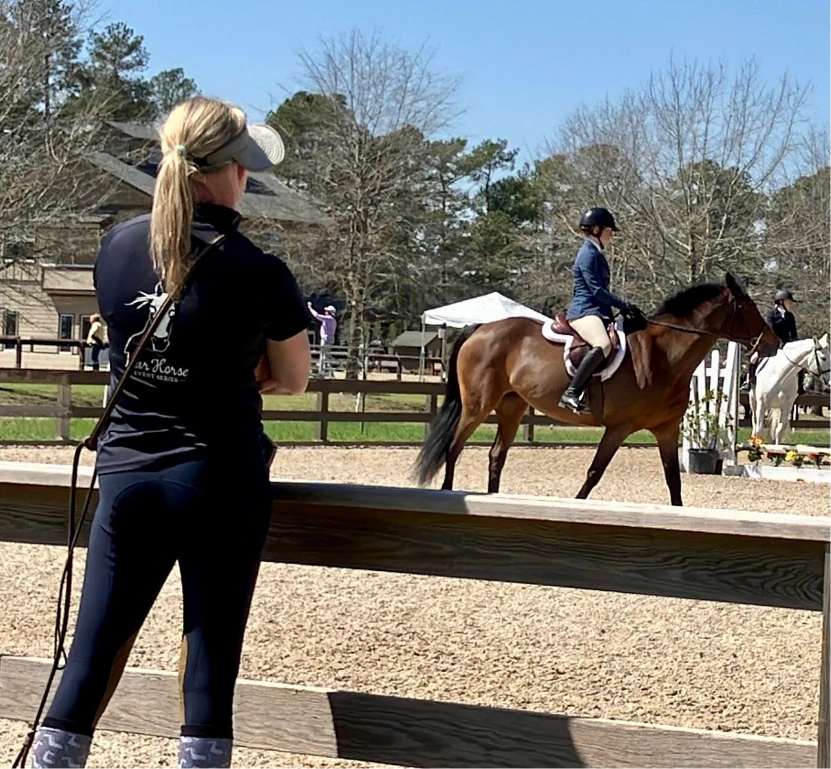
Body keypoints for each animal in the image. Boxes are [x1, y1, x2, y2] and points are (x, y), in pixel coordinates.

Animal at [412, 272, 779, 506]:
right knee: (453, 449)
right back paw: (448, 494)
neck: (665, 356)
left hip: (511, 407)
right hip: (477, 405)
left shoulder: (666, 429)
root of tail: (480, 328)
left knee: (495, 456)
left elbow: (673, 479)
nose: (775, 343)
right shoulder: (619, 428)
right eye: (749, 308)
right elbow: (594, 473)